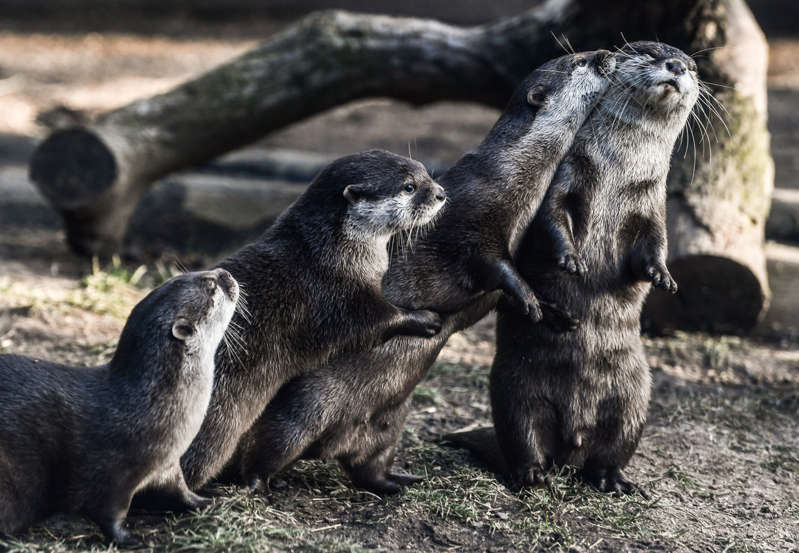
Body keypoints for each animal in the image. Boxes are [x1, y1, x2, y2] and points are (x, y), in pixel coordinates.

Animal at [0, 268, 239, 544]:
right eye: (211, 286)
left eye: (188, 273)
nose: (225, 273)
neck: (150, 405)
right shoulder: (112, 471)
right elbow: (107, 511)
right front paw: (131, 539)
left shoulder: (168, 463)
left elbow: (179, 491)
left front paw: (208, 501)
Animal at [174, 149, 446, 490]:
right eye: (409, 186)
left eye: (424, 171)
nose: (441, 193)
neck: (331, 253)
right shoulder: (337, 298)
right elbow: (377, 324)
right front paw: (424, 318)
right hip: (218, 417)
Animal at [238, 49, 620, 492]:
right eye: (579, 61)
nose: (607, 55)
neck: (512, 174)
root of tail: (330, 443)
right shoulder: (473, 226)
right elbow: (496, 267)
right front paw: (530, 301)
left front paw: (556, 314)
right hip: (303, 405)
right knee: (274, 442)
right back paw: (254, 482)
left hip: (390, 421)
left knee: (367, 464)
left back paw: (397, 481)